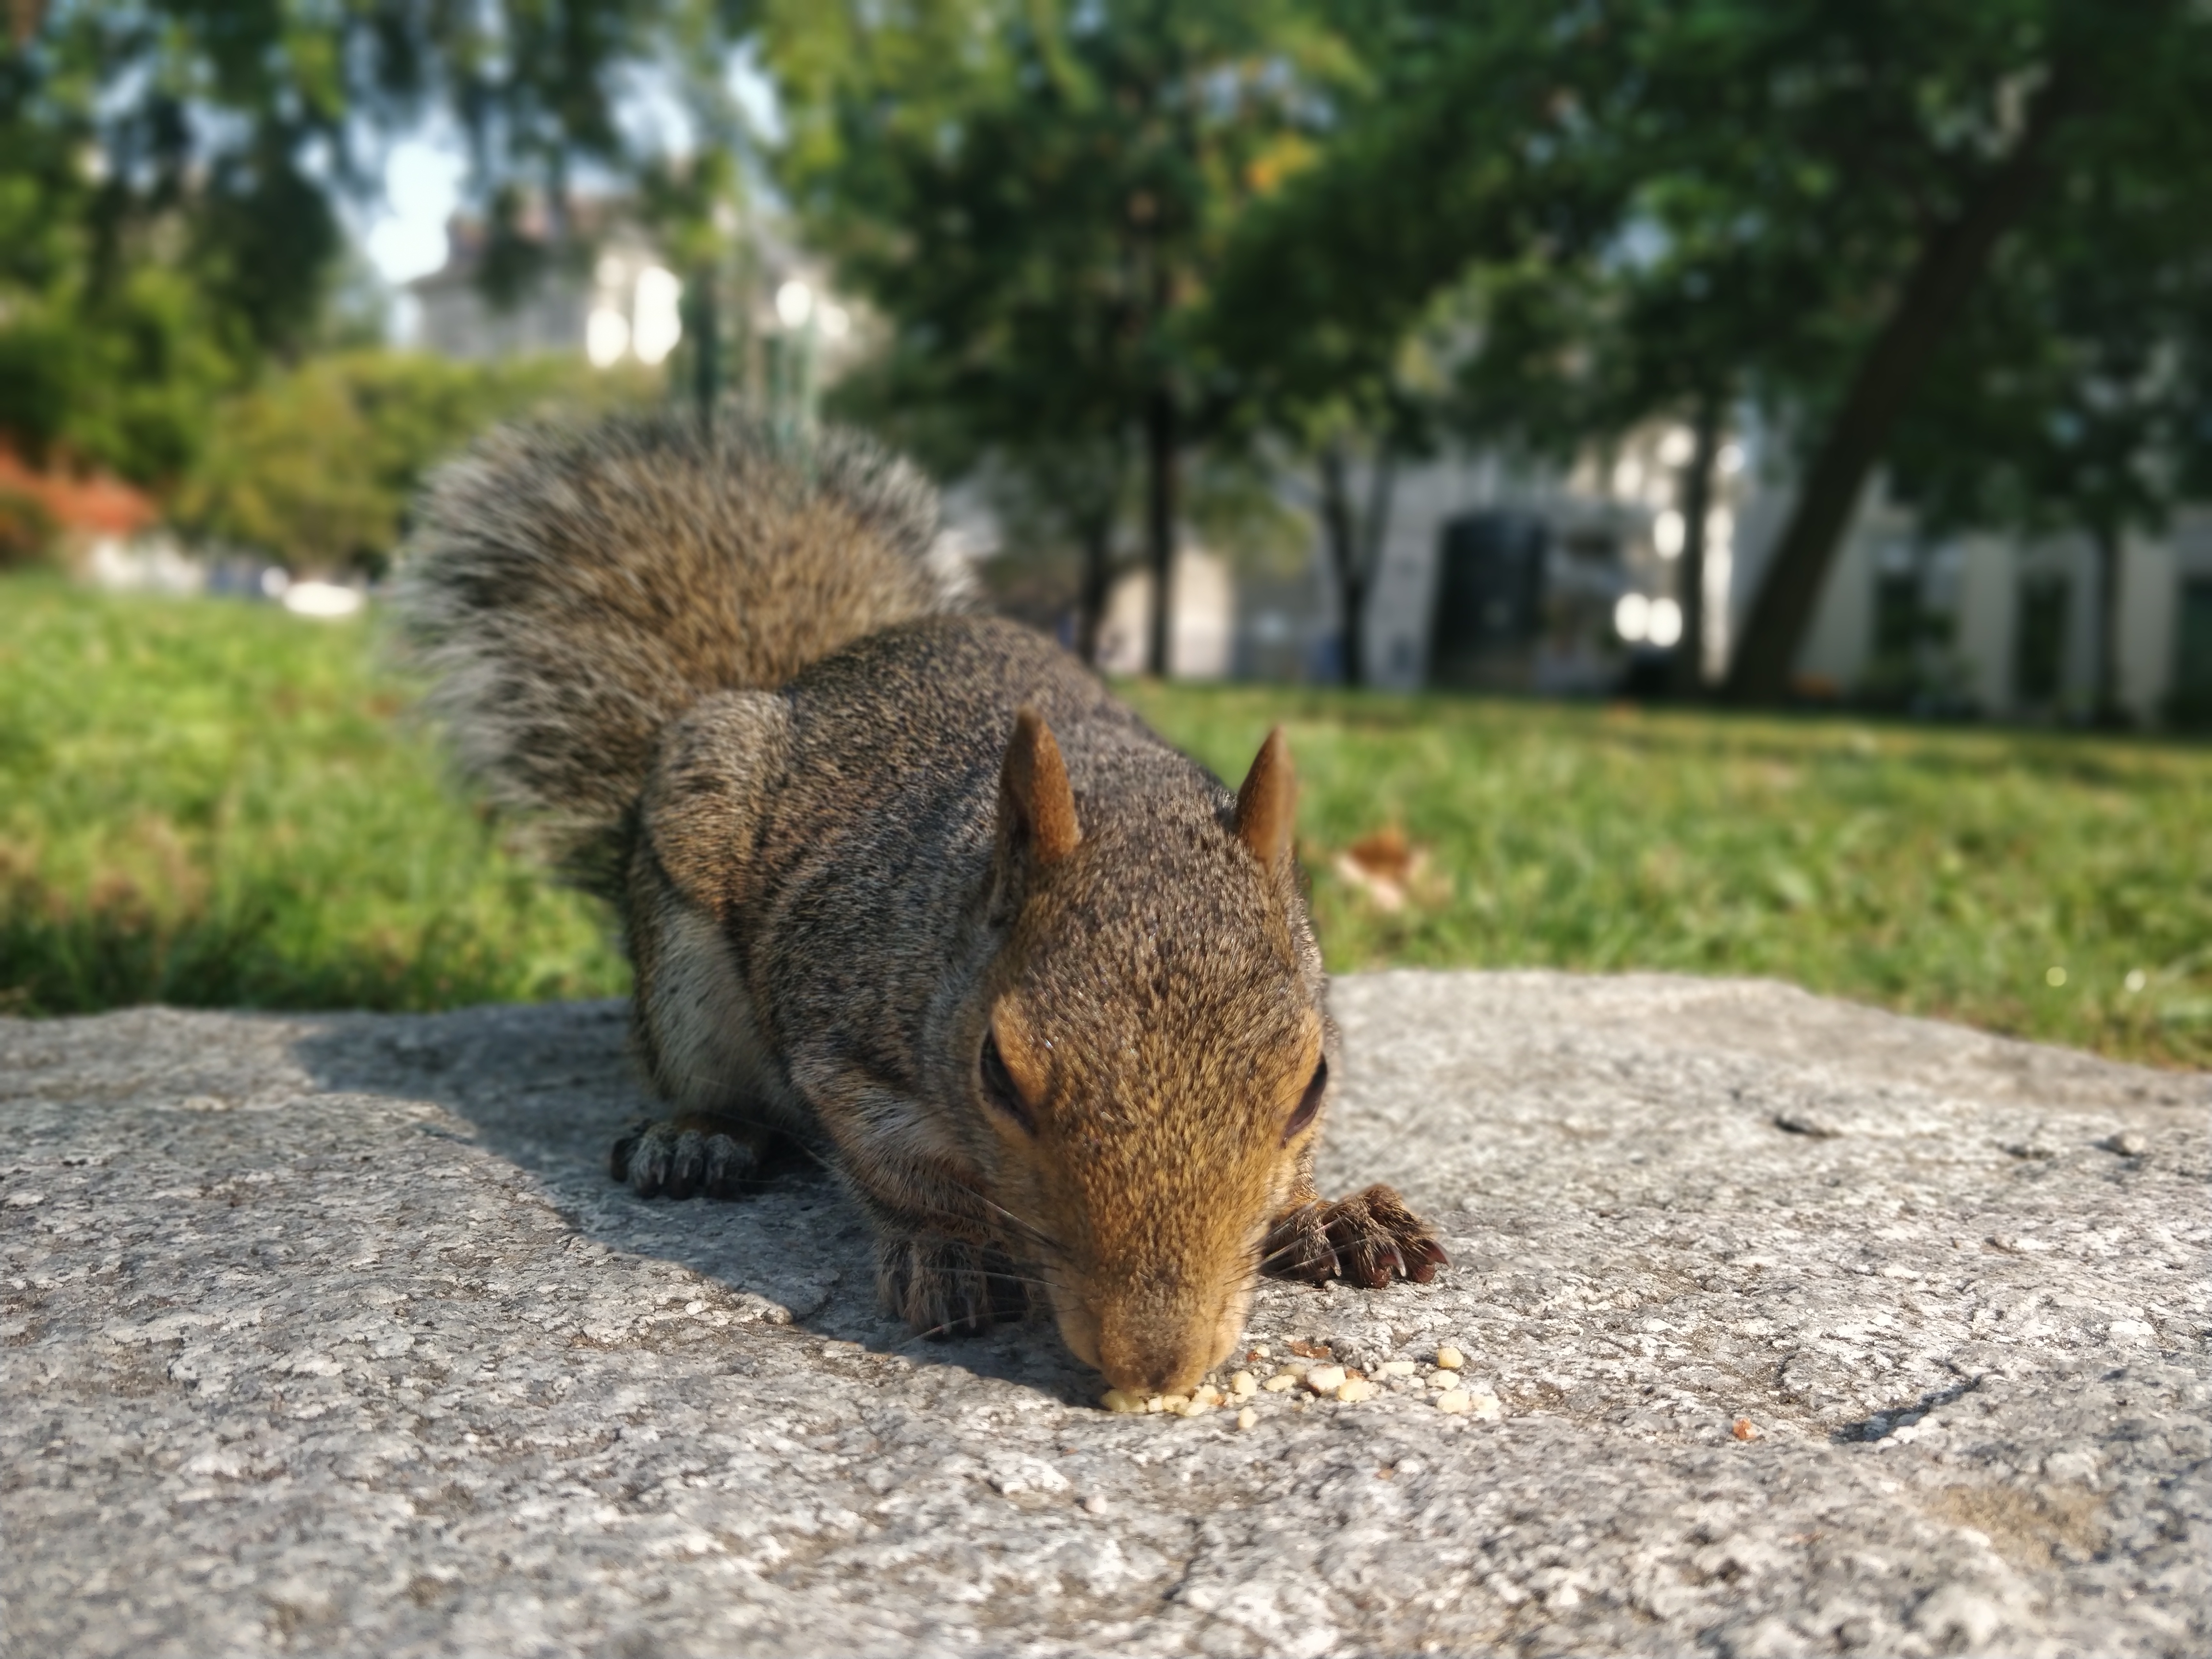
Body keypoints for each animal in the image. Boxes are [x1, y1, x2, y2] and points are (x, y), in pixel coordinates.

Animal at [398, 409, 1442, 1398]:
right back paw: (700, 1138)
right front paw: (951, 1247)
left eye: (1312, 1084)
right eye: (997, 1074)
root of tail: (811, 673)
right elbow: (892, 1169)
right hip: (686, 967)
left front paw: (1323, 1214)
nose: (1155, 1363)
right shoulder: (841, 1039)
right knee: (711, 1085)